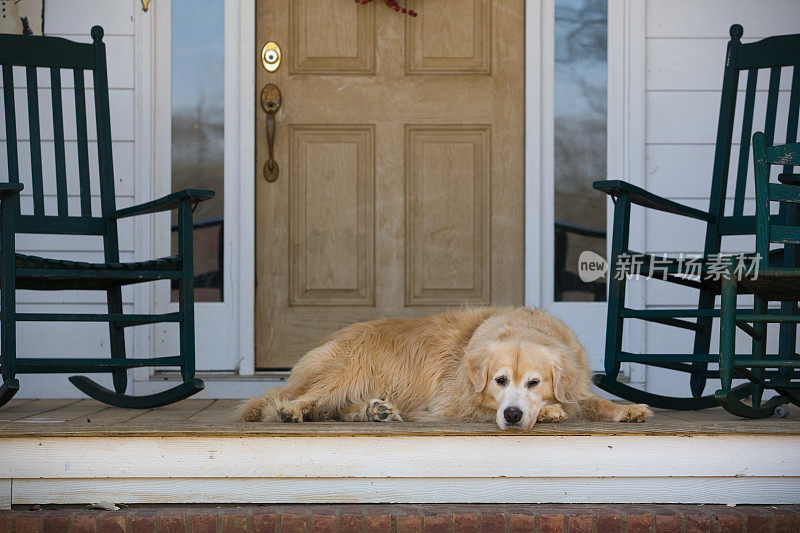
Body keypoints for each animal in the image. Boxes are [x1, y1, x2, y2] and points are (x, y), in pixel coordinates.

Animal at [238, 306, 648, 426]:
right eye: (499, 381)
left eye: (535, 382)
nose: (513, 415)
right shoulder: (450, 404)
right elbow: (481, 409)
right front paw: (549, 412)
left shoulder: (575, 385)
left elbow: (591, 401)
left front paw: (627, 409)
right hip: (342, 370)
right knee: (289, 402)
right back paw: (291, 410)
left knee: (335, 410)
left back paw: (376, 410)